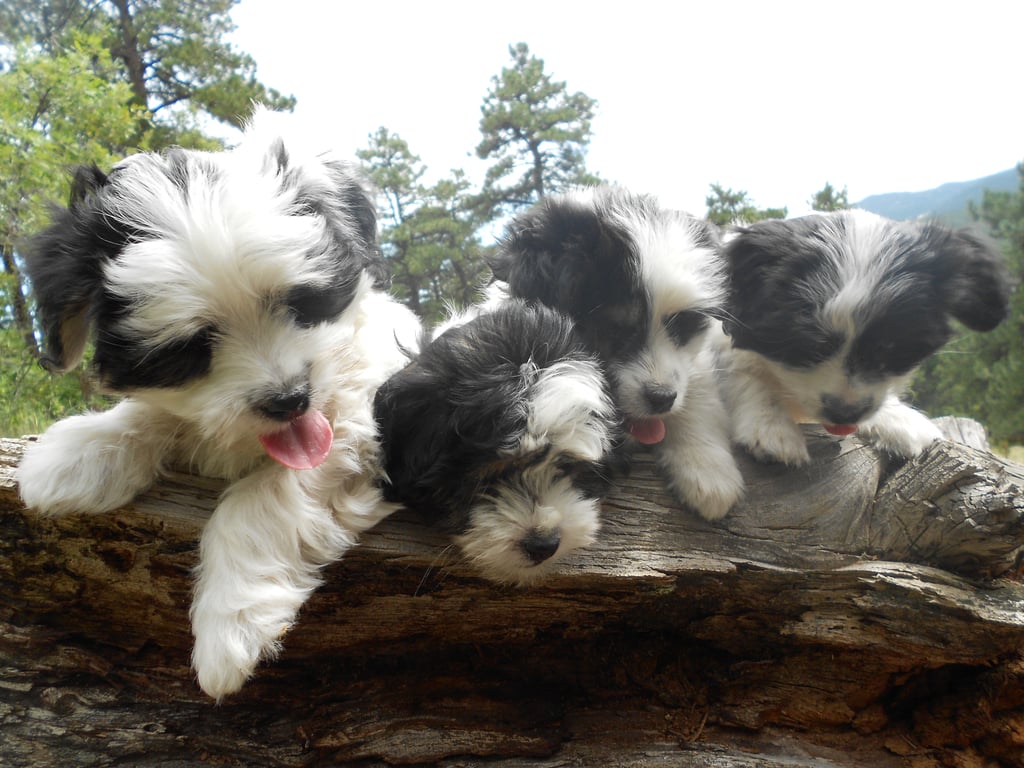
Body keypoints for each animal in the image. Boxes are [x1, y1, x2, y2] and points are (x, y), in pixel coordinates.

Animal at [489, 187, 745, 524]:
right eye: (613, 329)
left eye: (681, 327)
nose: (663, 398)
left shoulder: (692, 366)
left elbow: (697, 389)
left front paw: (709, 472)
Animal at [716, 207, 1011, 466]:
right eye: (803, 347)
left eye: (890, 348)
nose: (845, 412)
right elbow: (741, 371)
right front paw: (772, 426)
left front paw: (897, 418)